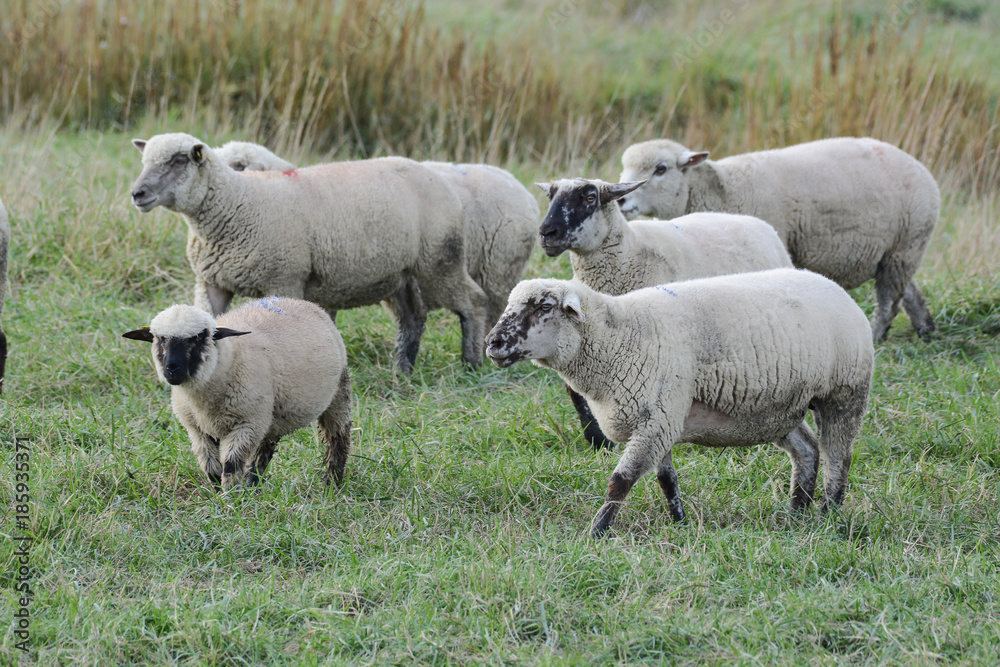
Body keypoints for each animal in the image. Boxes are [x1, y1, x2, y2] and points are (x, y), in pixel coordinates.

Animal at [122, 297, 352, 489]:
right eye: (159, 338)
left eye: (198, 337)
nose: (172, 369)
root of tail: (302, 301)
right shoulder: (198, 429)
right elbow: (210, 465)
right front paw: (217, 492)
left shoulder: (245, 424)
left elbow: (231, 465)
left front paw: (230, 497)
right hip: (270, 416)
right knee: (265, 448)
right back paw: (253, 485)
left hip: (337, 395)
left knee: (338, 436)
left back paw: (332, 482)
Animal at [130, 133, 488, 373]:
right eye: (144, 161)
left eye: (179, 161)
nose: (137, 193)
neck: (238, 202)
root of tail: (436, 176)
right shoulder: (211, 282)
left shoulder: (284, 278)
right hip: (399, 272)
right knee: (413, 317)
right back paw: (402, 370)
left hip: (440, 259)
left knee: (473, 301)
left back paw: (471, 364)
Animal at [484, 269, 874, 538]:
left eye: (545, 306)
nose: (493, 343)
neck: (619, 337)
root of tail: (834, 287)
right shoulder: (661, 419)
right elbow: (667, 481)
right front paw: (680, 524)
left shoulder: (656, 418)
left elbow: (620, 481)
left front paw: (596, 533)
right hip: (778, 409)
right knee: (807, 450)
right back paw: (796, 513)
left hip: (844, 393)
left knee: (838, 457)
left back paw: (828, 514)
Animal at [535, 177, 793, 449]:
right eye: (550, 196)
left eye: (589, 198)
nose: (546, 234)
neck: (631, 252)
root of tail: (756, 222)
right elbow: (577, 392)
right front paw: (598, 440)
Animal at [617, 137, 940, 341]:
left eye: (661, 169)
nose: (621, 200)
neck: (725, 188)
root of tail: (922, 169)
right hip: (897, 252)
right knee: (909, 293)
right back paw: (926, 330)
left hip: (906, 247)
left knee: (889, 302)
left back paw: (876, 336)